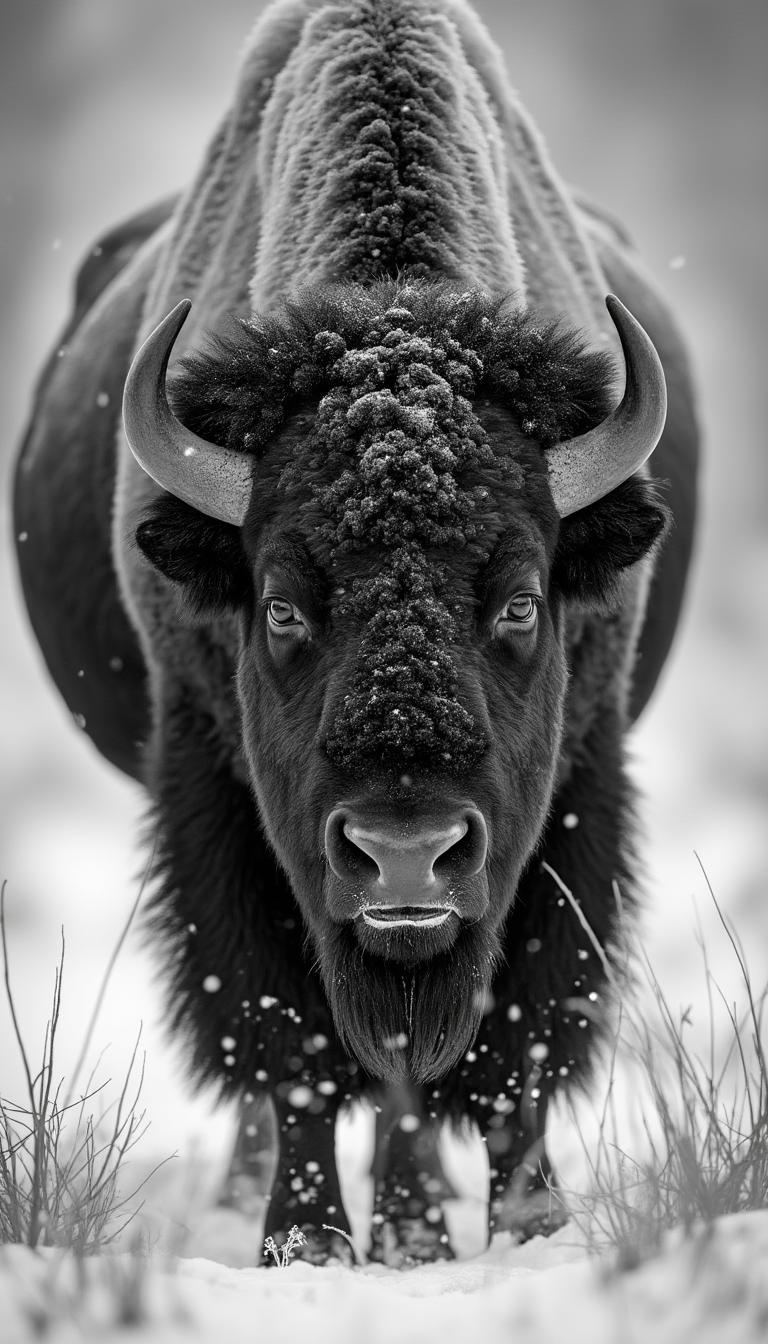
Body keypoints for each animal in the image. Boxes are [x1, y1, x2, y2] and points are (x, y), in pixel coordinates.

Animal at [14, 0, 698, 1265]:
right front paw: (307, 1240)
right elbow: (284, 1038)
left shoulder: (579, 780)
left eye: (522, 600)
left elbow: (524, 1021)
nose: (406, 853)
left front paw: (529, 1222)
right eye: (281, 603)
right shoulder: (215, 796)